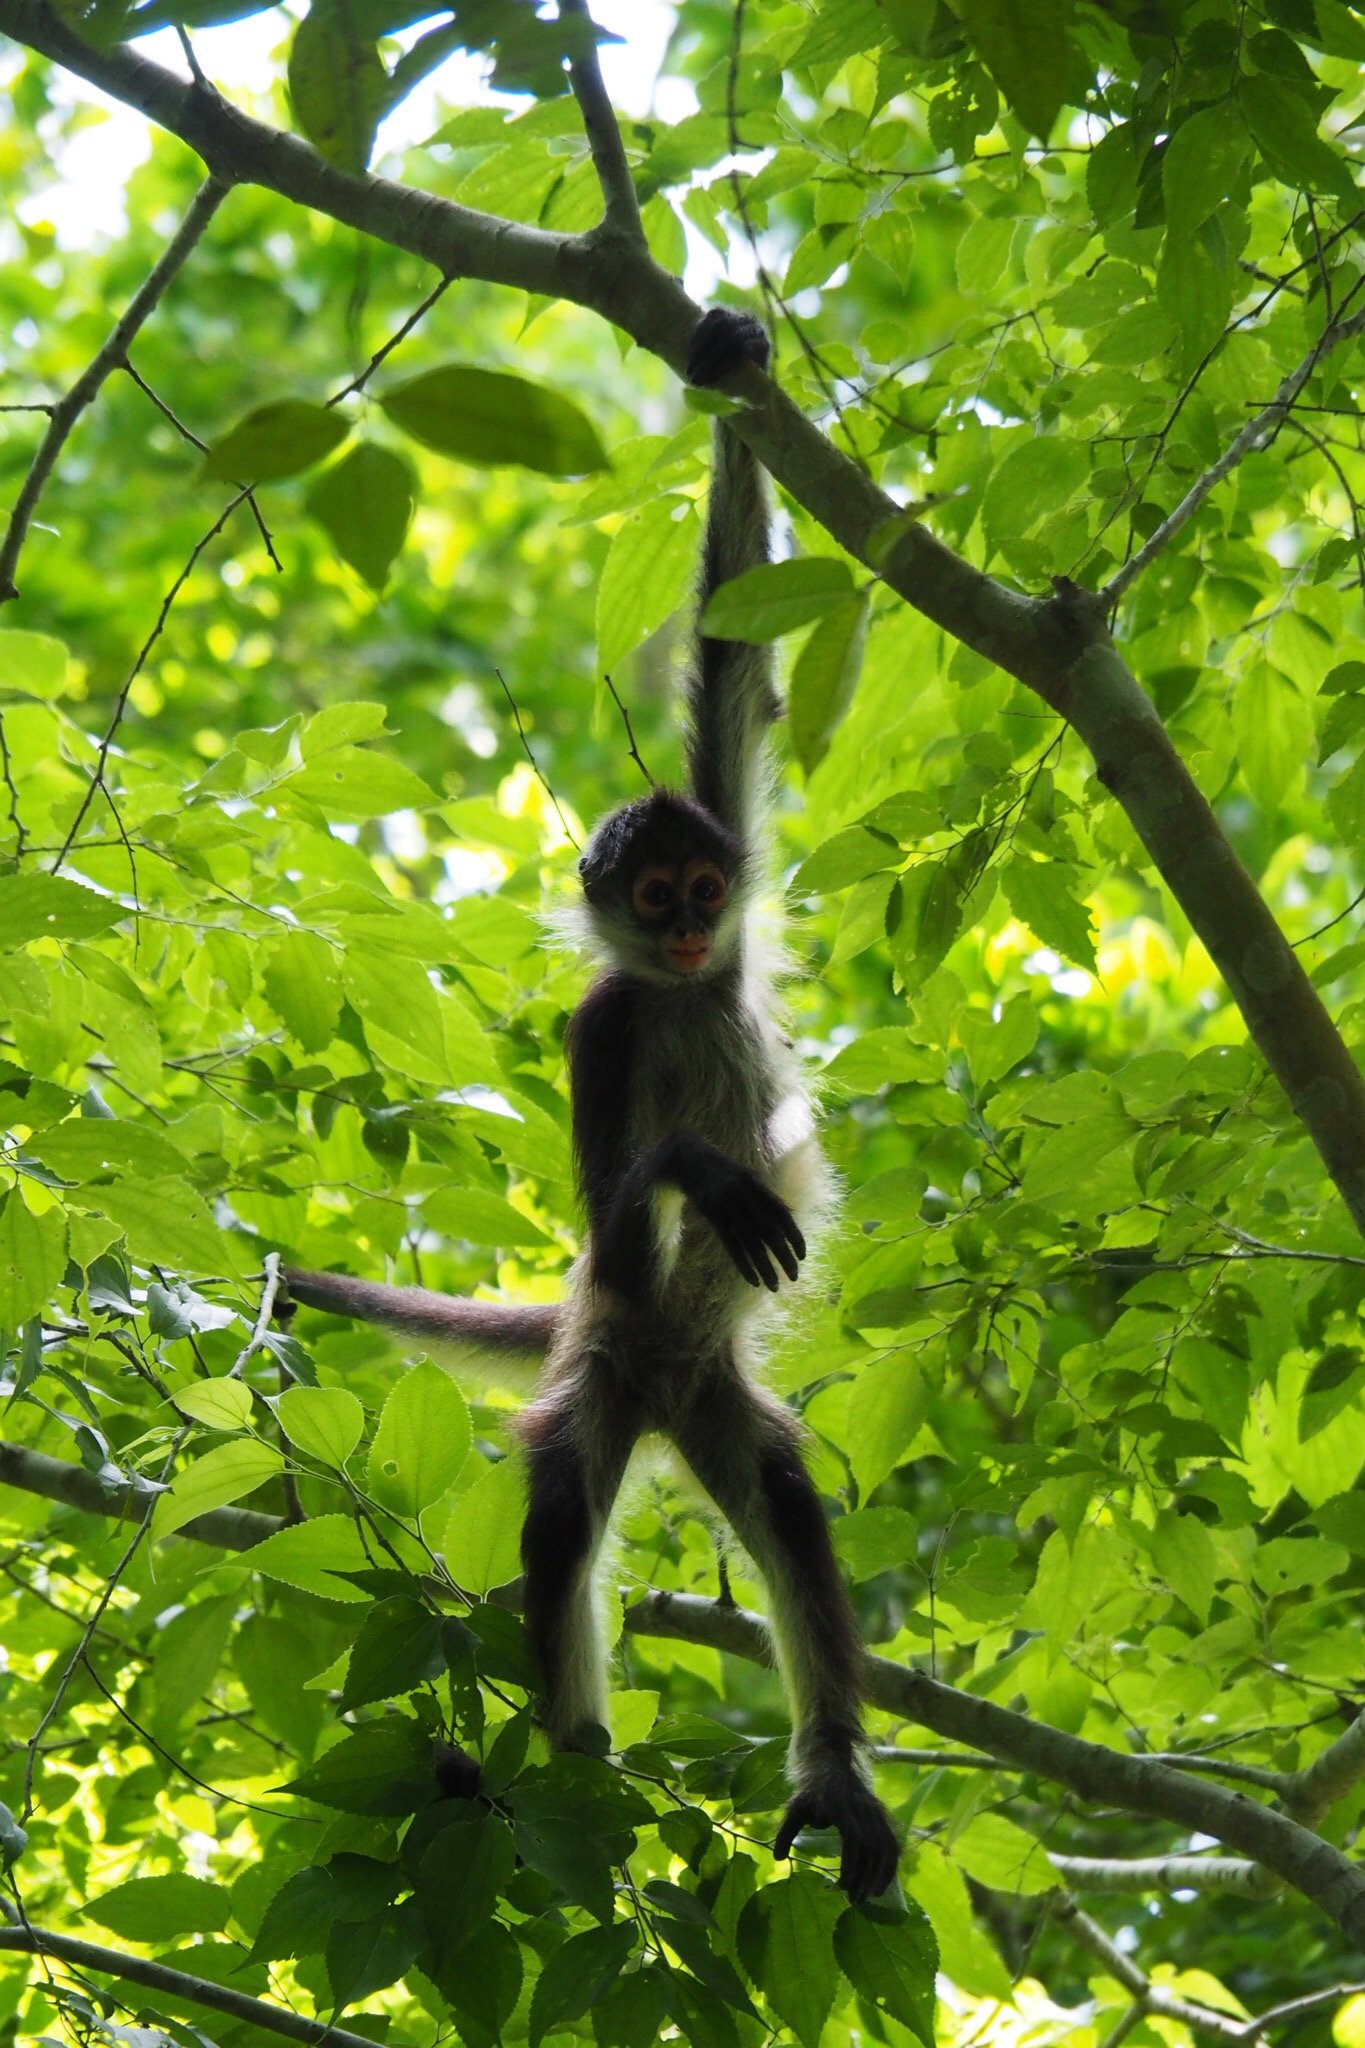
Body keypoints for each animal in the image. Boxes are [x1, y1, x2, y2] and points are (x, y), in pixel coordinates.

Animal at [286, 306, 899, 1904]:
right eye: (646, 898)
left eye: (699, 885)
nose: (681, 927)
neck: (681, 995)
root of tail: (656, 1380)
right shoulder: (605, 1028)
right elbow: (634, 1204)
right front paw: (702, 1167)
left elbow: (734, 648)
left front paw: (731, 363)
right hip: (608, 1364)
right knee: (563, 1513)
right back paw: (565, 1769)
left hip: (711, 1392)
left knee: (787, 1507)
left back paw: (832, 1769)